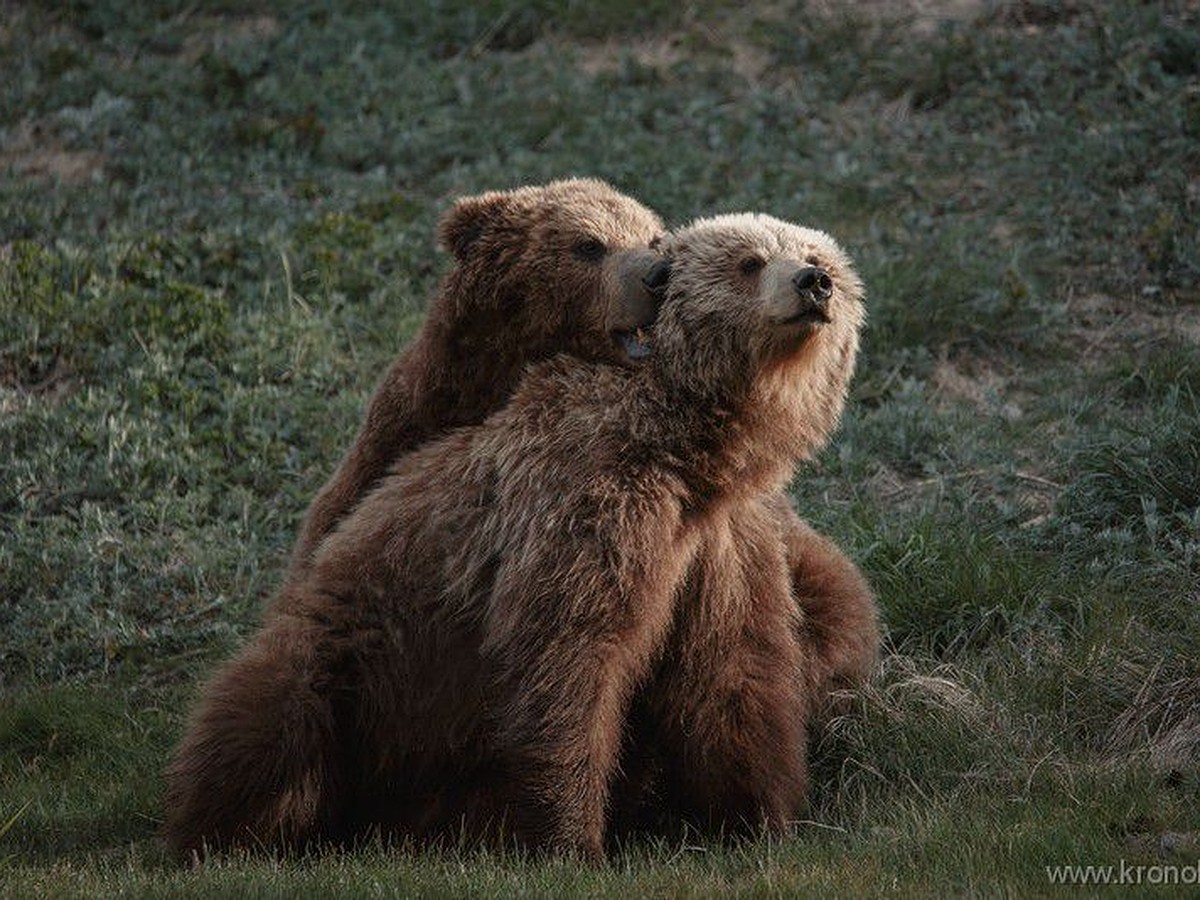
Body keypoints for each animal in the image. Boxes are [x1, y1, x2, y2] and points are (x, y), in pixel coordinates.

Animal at [162, 180, 883, 864]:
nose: (812, 282)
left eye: (818, 257)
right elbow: (567, 658)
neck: (680, 445)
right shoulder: (583, 504)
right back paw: (224, 834)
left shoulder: (718, 544)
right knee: (272, 720)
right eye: (749, 261)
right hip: (354, 664)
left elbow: (733, 670)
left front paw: (760, 819)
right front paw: (572, 842)